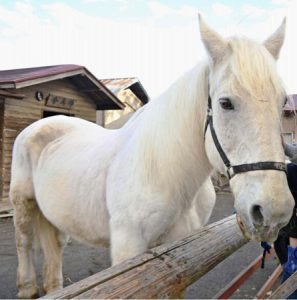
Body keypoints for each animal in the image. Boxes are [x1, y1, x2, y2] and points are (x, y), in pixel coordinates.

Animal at [9, 16, 294, 298]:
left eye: (282, 103)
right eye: (225, 103)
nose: (273, 211)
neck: (167, 173)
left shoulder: (181, 254)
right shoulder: (128, 250)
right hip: (23, 205)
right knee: (23, 242)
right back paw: (27, 287)